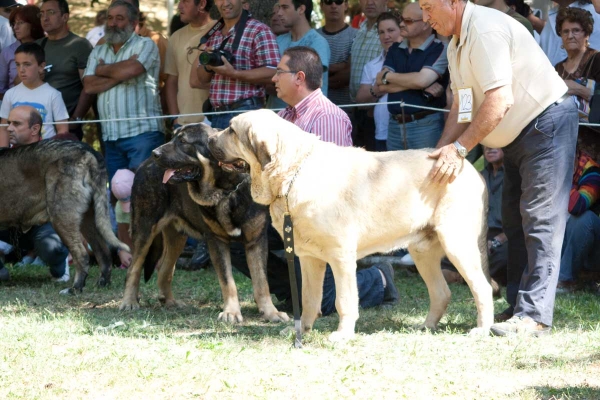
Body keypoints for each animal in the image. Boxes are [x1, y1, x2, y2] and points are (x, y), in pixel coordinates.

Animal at [0, 141, 130, 294]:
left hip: (61, 218)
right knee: (103, 252)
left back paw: (75, 288)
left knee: (81, 254)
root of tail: (89, 152)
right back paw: (102, 283)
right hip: (88, 220)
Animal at [119, 123, 288, 324]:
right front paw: (231, 313)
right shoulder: (217, 242)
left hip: (176, 237)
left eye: (183, 141)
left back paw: (170, 302)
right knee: (134, 268)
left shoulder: (256, 241)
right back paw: (129, 302)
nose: (155, 153)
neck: (227, 189)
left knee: (165, 270)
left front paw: (271, 312)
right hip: (145, 228)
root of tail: (144, 164)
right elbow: (228, 281)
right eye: (174, 138)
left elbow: (262, 282)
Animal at [206, 108, 492, 340]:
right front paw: (301, 331)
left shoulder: (341, 256)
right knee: (442, 292)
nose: (209, 139)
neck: (292, 174)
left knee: (482, 288)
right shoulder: (309, 258)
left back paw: (481, 329)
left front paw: (342, 334)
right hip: (422, 251)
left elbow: (344, 300)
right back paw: (425, 327)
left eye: (231, 130)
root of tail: (470, 168)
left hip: (457, 245)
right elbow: (309, 298)